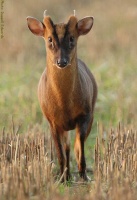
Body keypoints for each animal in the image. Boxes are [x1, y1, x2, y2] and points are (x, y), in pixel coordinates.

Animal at [26, 10, 97, 182]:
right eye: (49, 39)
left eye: (72, 38)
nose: (61, 61)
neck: (64, 104)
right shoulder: (52, 121)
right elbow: (60, 152)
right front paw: (62, 178)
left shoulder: (85, 114)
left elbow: (80, 146)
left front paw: (84, 176)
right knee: (66, 147)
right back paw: (67, 174)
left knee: (74, 145)